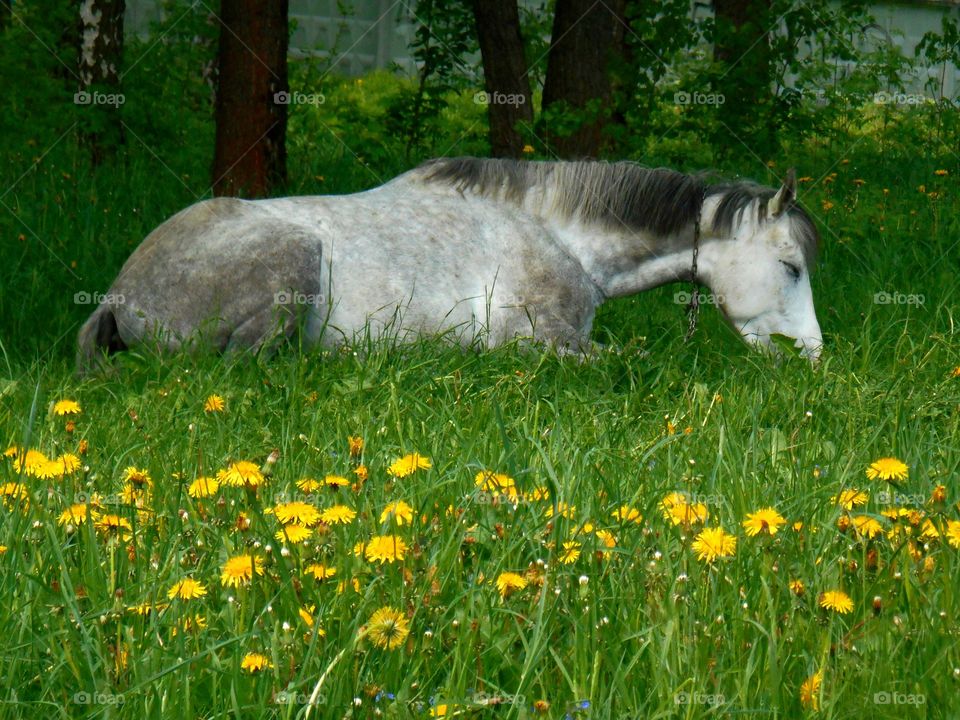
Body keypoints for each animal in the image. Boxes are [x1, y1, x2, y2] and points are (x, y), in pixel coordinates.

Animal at [79, 159, 820, 372]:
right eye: (791, 267)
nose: (811, 355)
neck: (560, 236)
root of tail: (115, 296)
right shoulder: (545, 342)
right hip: (293, 265)